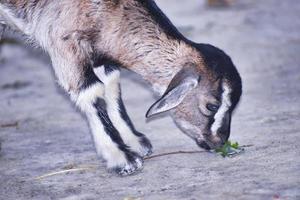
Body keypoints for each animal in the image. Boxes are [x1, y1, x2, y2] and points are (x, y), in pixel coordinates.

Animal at [0, 0, 243, 175]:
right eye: (211, 106)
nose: (220, 141)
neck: (108, 9)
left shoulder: (100, 56)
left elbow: (111, 84)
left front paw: (135, 142)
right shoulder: (63, 43)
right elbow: (91, 92)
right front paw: (122, 158)